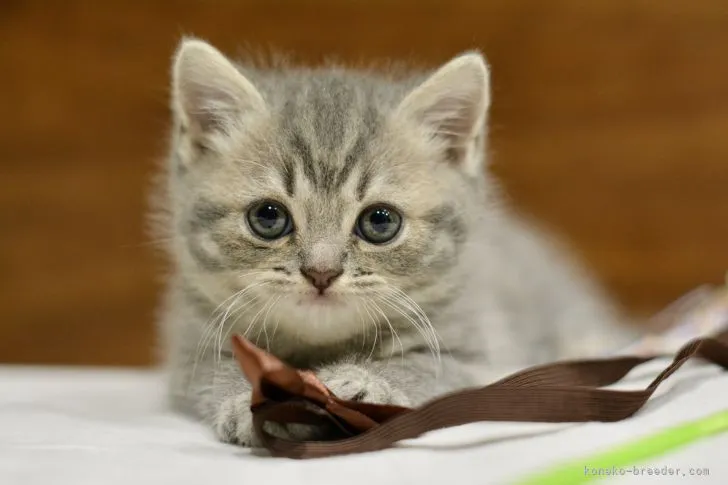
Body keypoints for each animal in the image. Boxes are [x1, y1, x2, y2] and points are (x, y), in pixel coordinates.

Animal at [152, 37, 636, 446]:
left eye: (380, 222)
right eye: (268, 217)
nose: (321, 272)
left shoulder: (477, 349)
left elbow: (423, 366)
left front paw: (366, 381)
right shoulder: (191, 346)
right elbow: (215, 371)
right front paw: (247, 399)